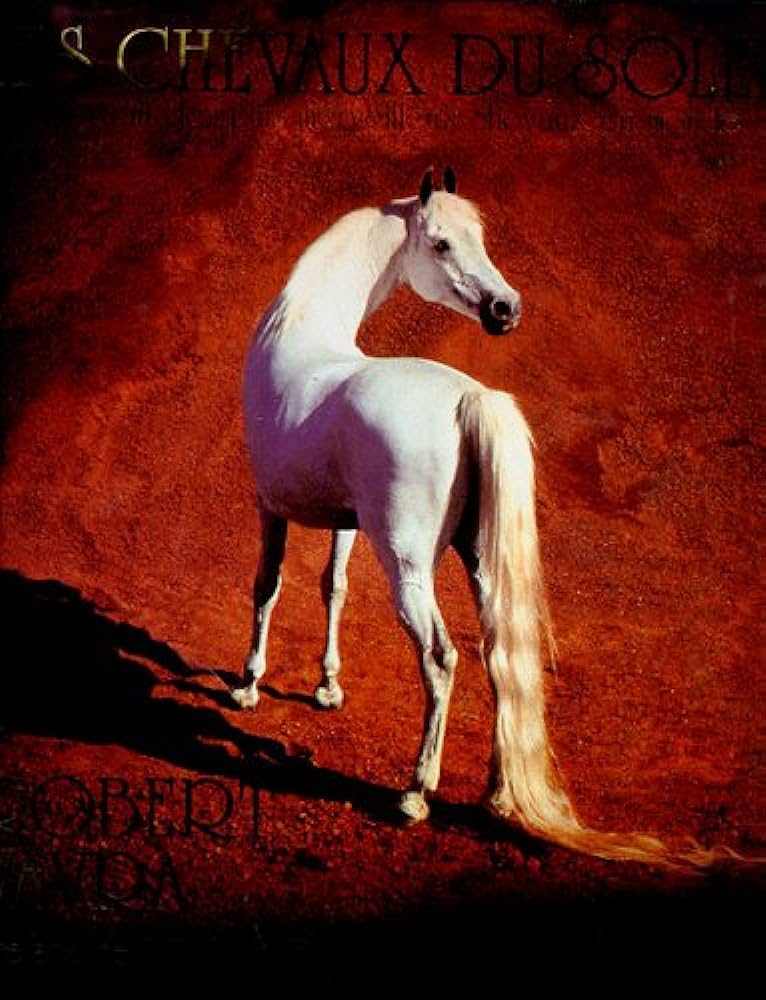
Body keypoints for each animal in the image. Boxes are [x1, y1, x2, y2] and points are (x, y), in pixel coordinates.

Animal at [232, 167, 736, 868]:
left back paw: (415, 794)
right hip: (478, 564)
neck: (300, 333)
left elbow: (269, 587)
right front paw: (327, 688)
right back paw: (499, 794)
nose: (506, 308)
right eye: (443, 243)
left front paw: (248, 686)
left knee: (442, 659)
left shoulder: (268, 505)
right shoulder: (344, 521)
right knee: (501, 663)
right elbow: (332, 588)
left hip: (409, 570)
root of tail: (471, 398)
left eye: (479, 238)